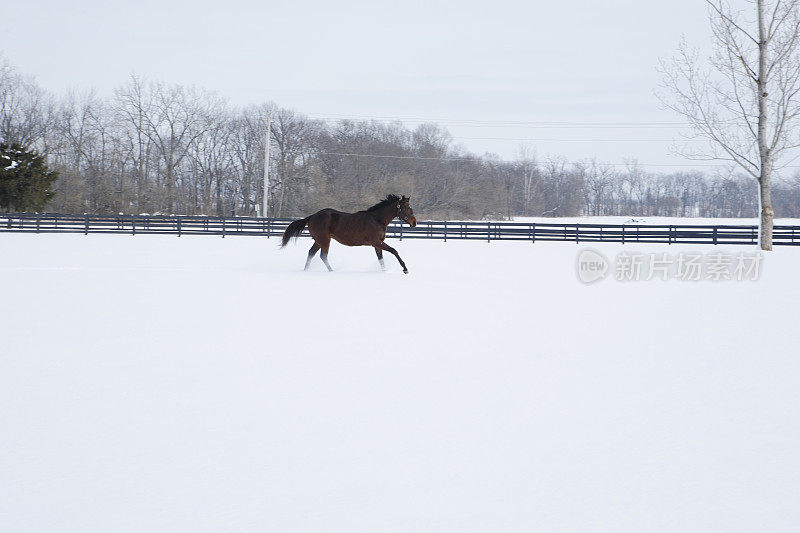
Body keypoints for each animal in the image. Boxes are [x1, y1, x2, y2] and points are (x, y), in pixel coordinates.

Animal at [282, 193, 418, 272]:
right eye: (406, 208)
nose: (414, 222)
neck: (377, 220)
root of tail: (311, 217)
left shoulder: (377, 244)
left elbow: (381, 259)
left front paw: (384, 271)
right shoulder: (376, 242)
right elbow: (394, 251)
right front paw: (405, 269)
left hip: (319, 241)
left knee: (311, 253)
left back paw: (306, 270)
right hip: (325, 240)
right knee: (323, 256)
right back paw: (331, 271)